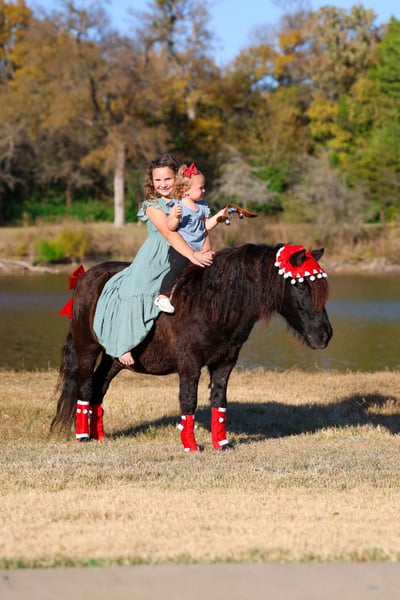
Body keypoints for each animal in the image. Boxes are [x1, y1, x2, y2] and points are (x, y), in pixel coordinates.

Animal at [50, 243, 332, 451]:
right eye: (301, 284)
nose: (325, 335)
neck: (210, 303)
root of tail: (85, 278)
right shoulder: (189, 363)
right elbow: (188, 401)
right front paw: (191, 446)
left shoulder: (225, 363)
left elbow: (219, 400)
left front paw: (223, 443)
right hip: (87, 349)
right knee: (86, 387)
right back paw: (83, 437)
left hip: (115, 359)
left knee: (99, 387)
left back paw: (99, 436)